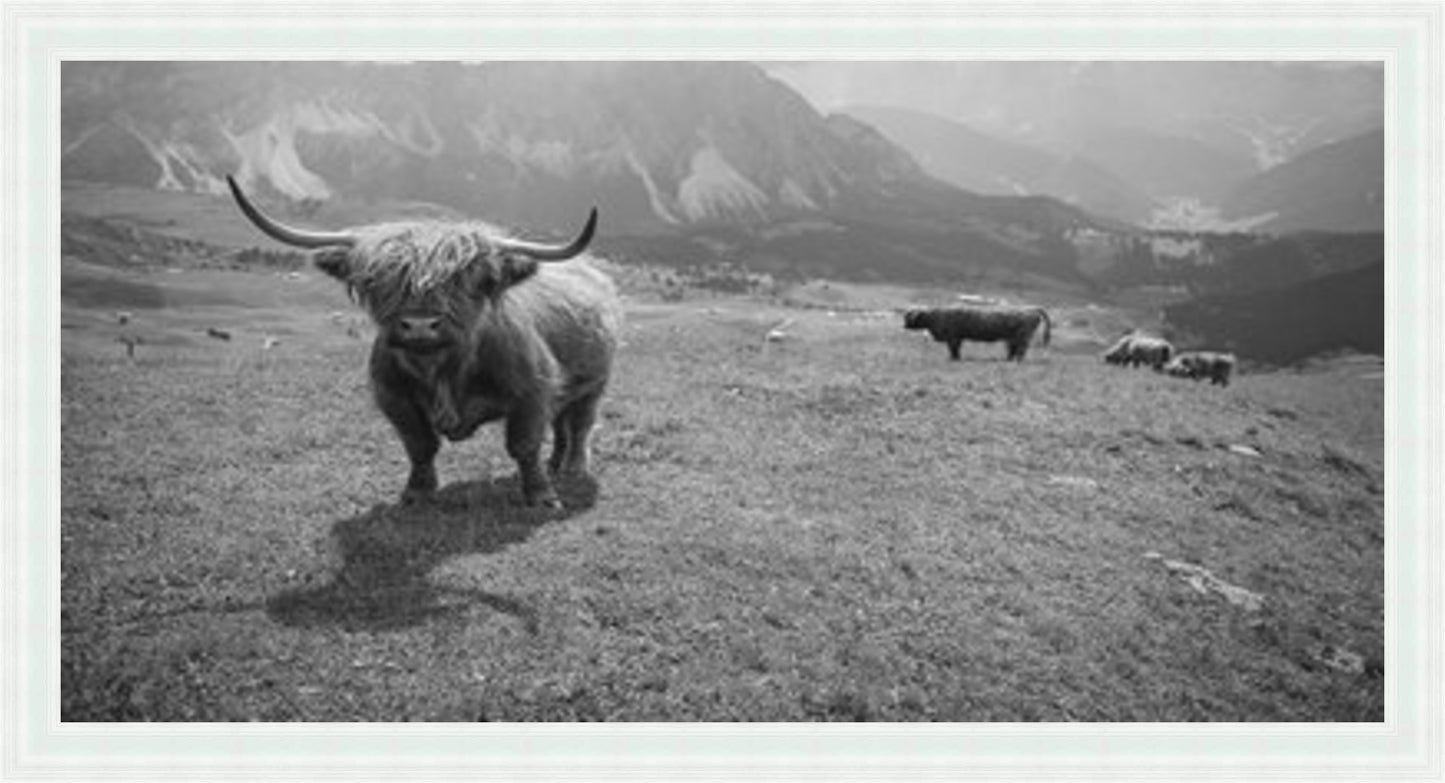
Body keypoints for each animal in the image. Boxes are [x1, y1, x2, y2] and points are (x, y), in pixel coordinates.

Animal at [226, 176, 621, 510]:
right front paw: (416, 492)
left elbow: (524, 445)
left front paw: (541, 496)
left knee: (580, 423)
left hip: (595, 384)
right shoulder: (393, 397)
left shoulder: (532, 391)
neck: (441, 370)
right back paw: (556, 463)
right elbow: (419, 445)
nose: (419, 325)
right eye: (377, 280)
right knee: (561, 423)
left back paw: (572, 468)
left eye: (472, 280)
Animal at [902, 305, 1051, 362]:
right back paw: (1009, 360)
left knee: (1021, 349)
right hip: (1014, 338)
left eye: (909, 317)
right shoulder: (958, 338)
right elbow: (956, 350)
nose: (904, 325)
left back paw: (1017, 361)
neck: (935, 317)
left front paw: (954, 359)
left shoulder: (953, 337)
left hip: (1023, 336)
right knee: (1013, 349)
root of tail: (1031, 309)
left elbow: (953, 350)